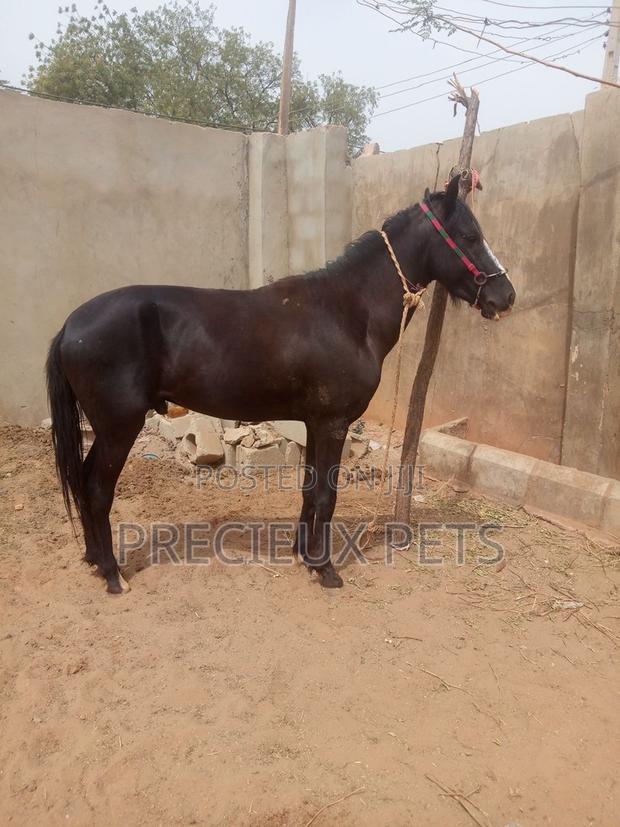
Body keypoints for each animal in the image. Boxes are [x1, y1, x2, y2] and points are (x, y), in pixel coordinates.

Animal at [46, 174, 515, 594]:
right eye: (470, 235)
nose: (506, 297)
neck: (346, 312)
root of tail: (70, 325)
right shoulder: (333, 424)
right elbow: (326, 497)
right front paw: (326, 569)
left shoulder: (313, 423)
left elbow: (309, 492)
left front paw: (303, 555)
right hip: (119, 428)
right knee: (97, 490)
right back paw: (112, 574)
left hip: (108, 429)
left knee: (84, 482)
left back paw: (94, 559)